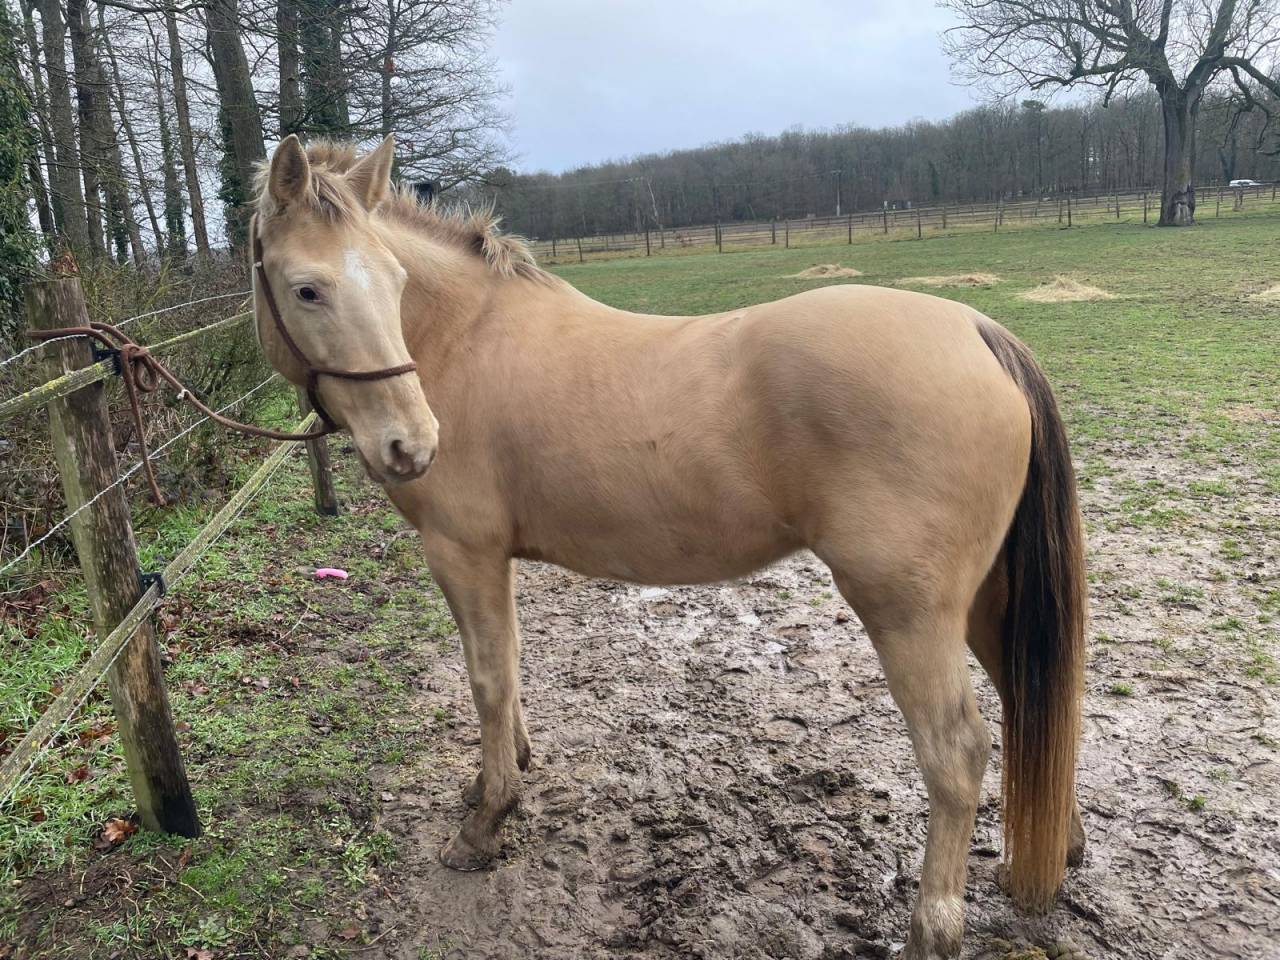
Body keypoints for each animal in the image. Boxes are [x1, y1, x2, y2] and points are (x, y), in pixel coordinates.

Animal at [251, 135, 1087, 960]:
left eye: (391, 284)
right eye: (309, 290)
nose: (412, 445)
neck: (463, 339)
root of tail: (978, 331)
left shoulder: (462, 552)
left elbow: (487, 681)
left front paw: (486, 820)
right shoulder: (495, 560)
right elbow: (510, 669)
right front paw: (503, 774)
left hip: (909, 612)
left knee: (957, 752)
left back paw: (932, 927)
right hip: (983, 599)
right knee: (1029, 700)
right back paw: (1052, 851)